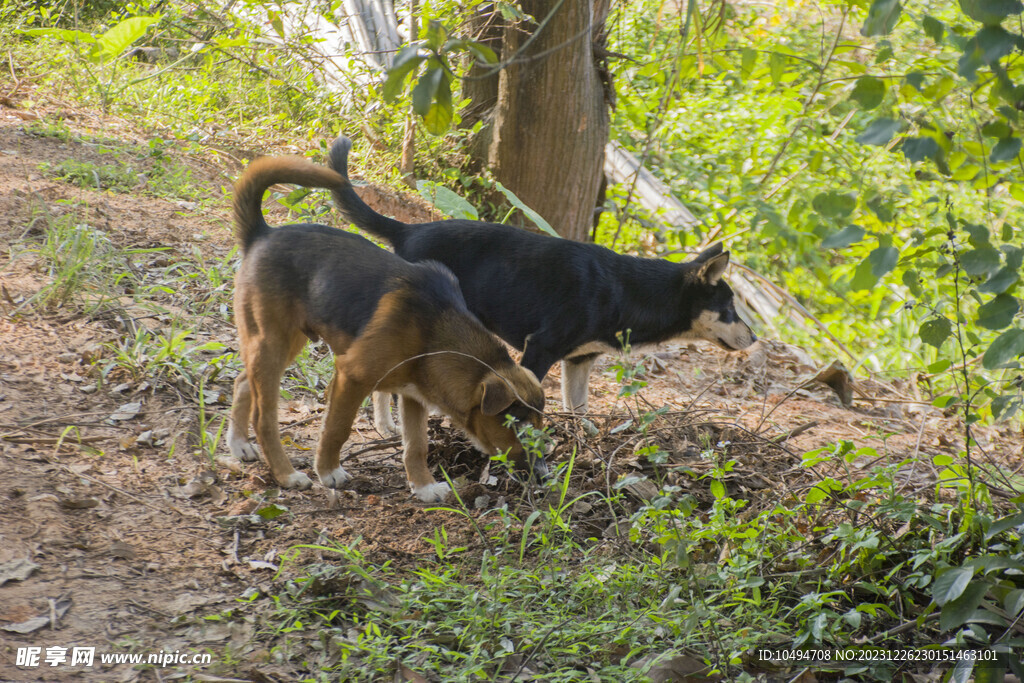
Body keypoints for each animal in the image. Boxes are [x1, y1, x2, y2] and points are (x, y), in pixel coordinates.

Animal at [224, 152, 544, 501]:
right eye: (520, 427)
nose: (544, 476)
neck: (434, 330)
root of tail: (261, 233)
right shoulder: (351, 376)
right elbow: (338, 428)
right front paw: (328, 471)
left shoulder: (413, 395)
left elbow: (417, 445)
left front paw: (424, 487)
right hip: (273, 341)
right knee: (263, 417)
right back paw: (286, 474)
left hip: (282, 341)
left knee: (242, 382)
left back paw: (239, 445)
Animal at [323, 132, 757, 413]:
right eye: (730, 310)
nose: (754, 339)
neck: (627, 291)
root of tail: (408, 230)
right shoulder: (541, 348)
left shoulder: (579, 362)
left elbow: (579, 412)